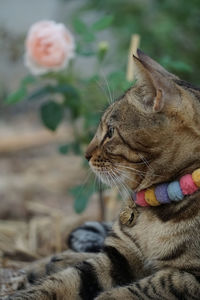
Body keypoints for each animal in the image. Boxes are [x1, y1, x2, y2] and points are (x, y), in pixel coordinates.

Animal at [6, 50, 200, 298]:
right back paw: (52, 261)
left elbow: (154, 284)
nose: (86, 154)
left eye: (110, 132)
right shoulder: (119, 257)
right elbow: (64, 281)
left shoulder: (192, 278)